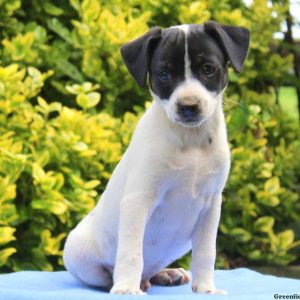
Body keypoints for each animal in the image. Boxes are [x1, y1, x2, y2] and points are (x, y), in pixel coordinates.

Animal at [63, 21, 251, 296]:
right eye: (164, 74)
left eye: (208, 69)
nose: (188, 106)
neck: (190, 139)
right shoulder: (139, 200)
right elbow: (131, 252)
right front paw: (126, 289)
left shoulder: (211, 205)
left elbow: (206, 253)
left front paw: (206, 288)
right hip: (78, 254)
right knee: (111, 273)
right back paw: (126, 282)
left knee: (150, 270)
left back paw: (165, 274)